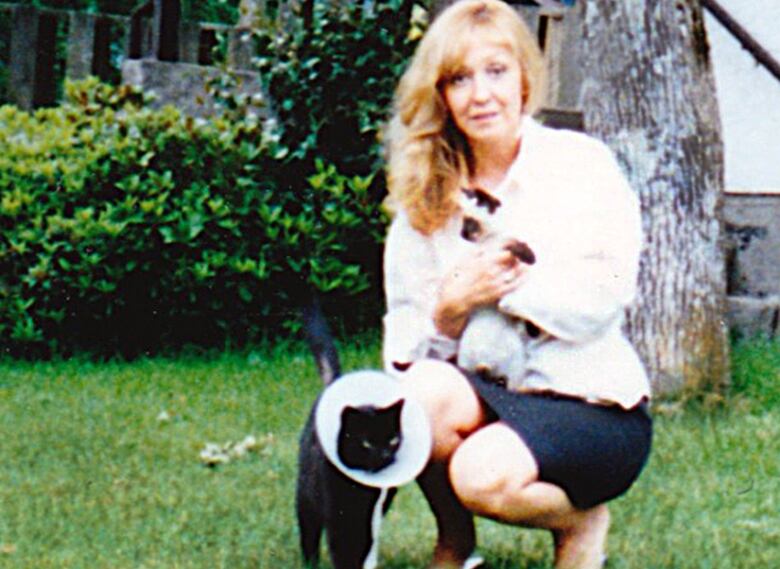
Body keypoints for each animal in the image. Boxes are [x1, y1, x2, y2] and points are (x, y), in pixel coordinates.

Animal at [296, 296, 400, 568]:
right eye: (366, 443)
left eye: (392, 440)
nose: (384, 455)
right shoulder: (338, 516)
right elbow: (343, 551)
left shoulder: (370, 516)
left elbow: (363, 548)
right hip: (306, 494)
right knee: (308, 532)